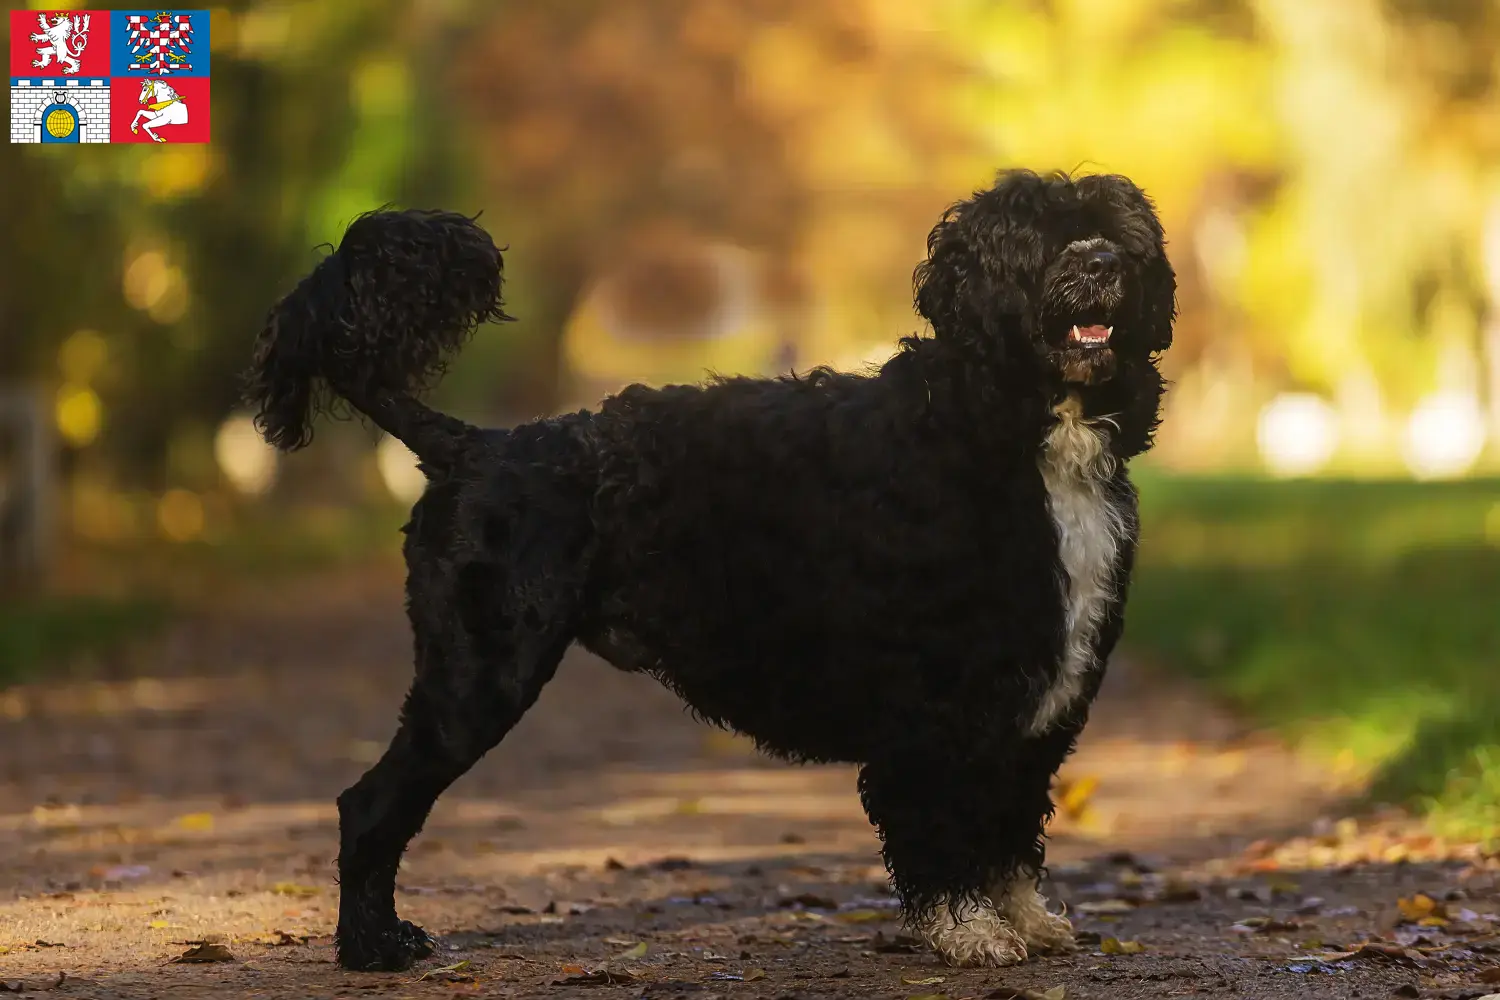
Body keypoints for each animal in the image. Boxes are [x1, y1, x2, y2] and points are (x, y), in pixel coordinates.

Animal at [246, 167, 1176, 971]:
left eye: (1114, 231)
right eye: (1037, 235)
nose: (1101, 263)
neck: (1015, 427)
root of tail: (473, 446)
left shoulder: (1037, 696)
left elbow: (1009, 824)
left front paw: (1022, 918)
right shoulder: (940, 705)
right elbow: (946, 828)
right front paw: (971, 932)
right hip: (478, 677)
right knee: (368, 807)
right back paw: (374, 946)